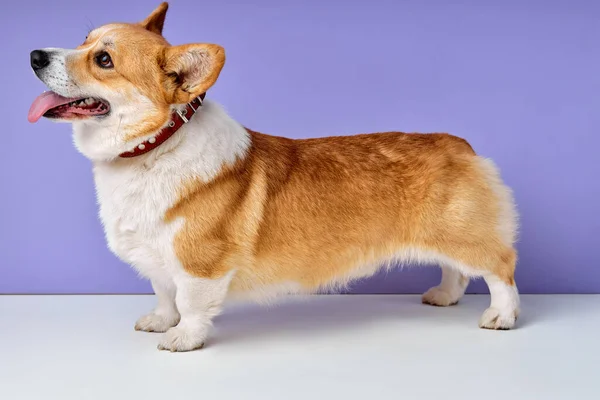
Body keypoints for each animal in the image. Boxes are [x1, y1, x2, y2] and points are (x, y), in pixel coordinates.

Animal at [27, 2, 516, 350]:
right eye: (84, 40)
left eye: (103, 59)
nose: (34, 54)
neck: (156, 145)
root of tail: (460, 145)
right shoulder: (158, 257)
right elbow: (164, 294)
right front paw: (160, 322)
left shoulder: (199, 262)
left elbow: (190, 302)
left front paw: (182, 338)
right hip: (446, 236)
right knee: (457, 271)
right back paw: (444, 296)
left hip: (464, 236)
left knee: (500, 269)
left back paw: (501, 317)